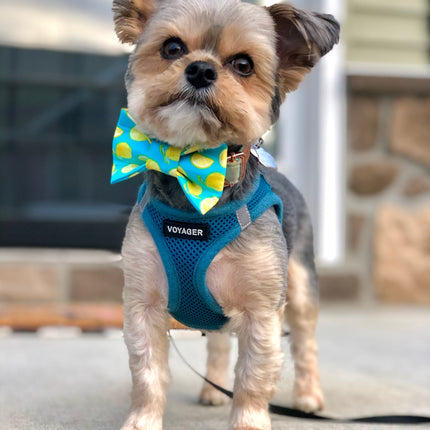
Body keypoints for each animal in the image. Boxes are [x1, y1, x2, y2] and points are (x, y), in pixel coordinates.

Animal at [111, 1, 340, 428]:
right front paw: (142, 421)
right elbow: (147, 374)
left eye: (244, 65)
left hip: (301, 285)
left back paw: (308, 396)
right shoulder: (142, 304)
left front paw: (249, 421)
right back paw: (212, 391)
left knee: (306, 344)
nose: (200, 69)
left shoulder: (262, 312)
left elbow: (252, 378)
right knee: (217, 341)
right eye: (172, 48)